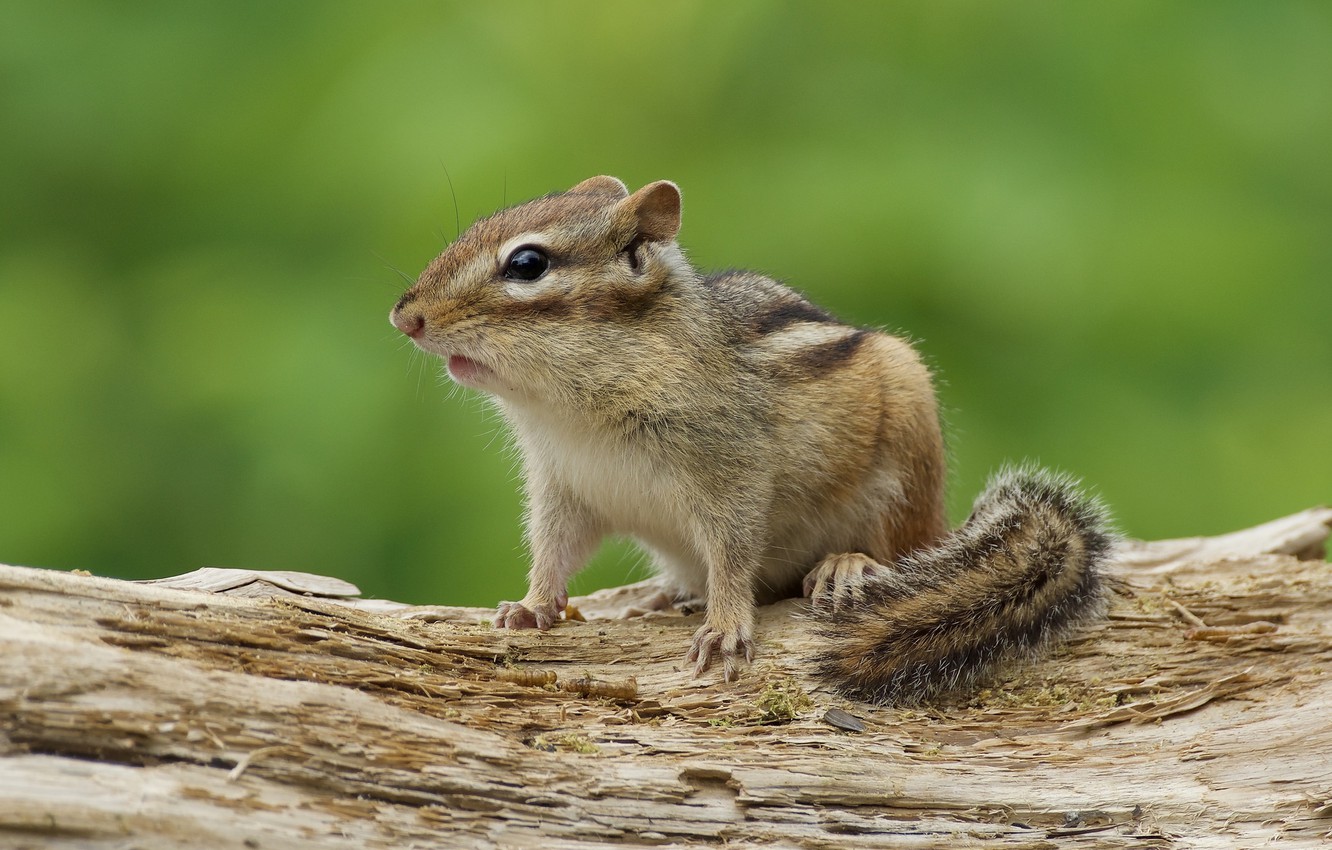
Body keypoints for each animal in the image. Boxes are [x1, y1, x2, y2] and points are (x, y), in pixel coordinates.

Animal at [390, 175, 1114, 703]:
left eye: (527, 263)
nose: (403, 316)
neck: (569, 412)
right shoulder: (563, 487)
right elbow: (554, 551)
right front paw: (533, 608)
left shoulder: (731, 468)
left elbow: (734, 550)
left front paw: (725, 625)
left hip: (907, 444)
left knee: (904, 547)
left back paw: (847, 565)